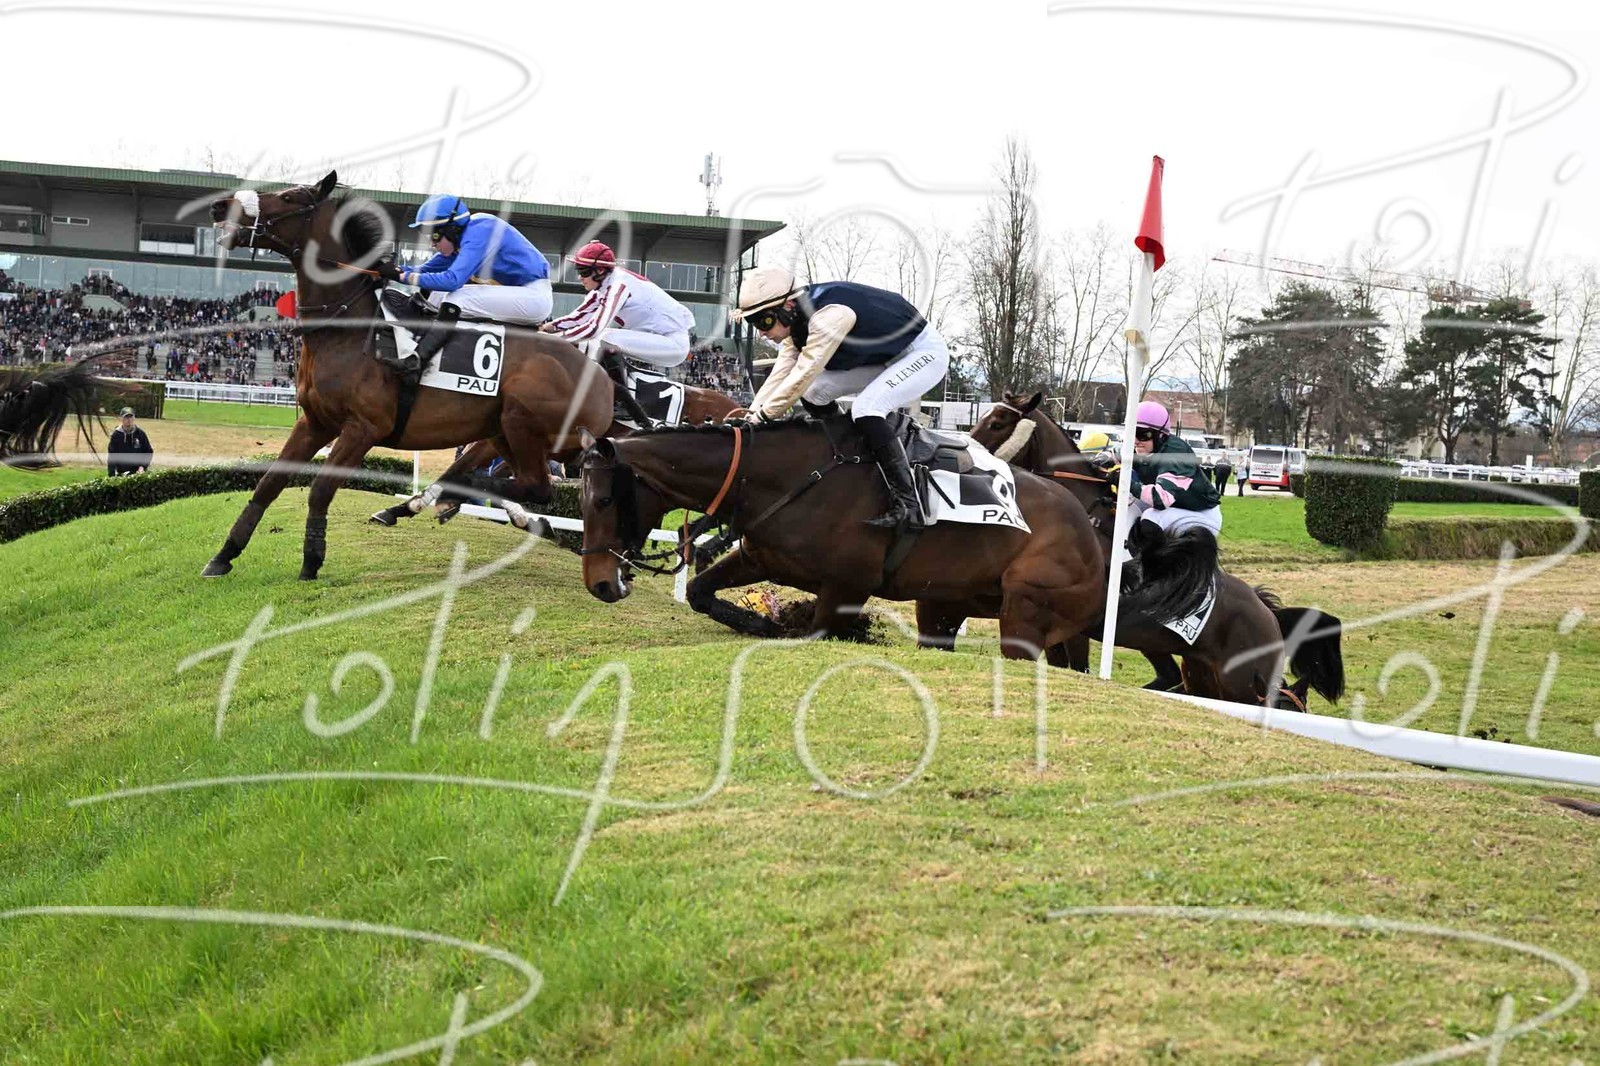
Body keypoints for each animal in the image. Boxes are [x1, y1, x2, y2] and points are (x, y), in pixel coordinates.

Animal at [198, 172, 614, 580]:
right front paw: (224, 554)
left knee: (537, 487)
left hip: (525, 423)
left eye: (288, 197)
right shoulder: (315, 422)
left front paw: (312, 560)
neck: (346, 329)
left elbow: (320, 489)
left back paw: (457, 495)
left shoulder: (363, 428)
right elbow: (269, 483)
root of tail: (604, 382)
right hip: (501, 432)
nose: (219, 206)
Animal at [574, 417, 1214, 669]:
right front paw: (757, 622)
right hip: (945, 606)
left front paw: (777, 628)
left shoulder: (845, 586)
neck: (792, 475)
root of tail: (1097, 539)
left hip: (1026, 615)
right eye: (580, 499)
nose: (600, 583)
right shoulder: (760, 556)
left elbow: (818, 630)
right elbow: (703, 593)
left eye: (603, 501)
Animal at [957, 392, 1345, 707]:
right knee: (1176, 678)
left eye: (996, 422)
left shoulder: (1074, 626)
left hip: (1237, 680)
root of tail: (1267, 614)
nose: (964, 456)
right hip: (1198, 667)